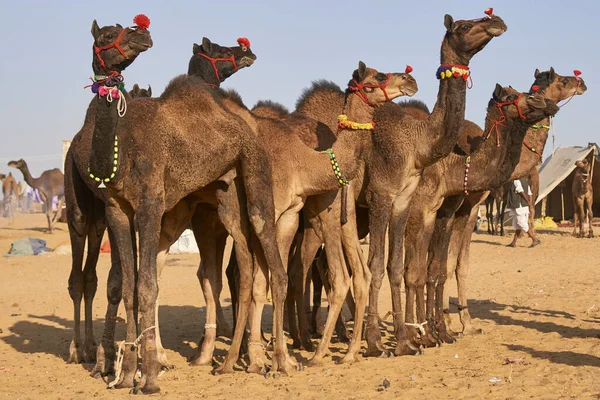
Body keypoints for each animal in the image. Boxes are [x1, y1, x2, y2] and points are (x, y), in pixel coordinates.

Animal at [290, 10, 506, 356]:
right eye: (463, 26)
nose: (496, 21)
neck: (417, 144)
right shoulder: (381, 194)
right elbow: (377, 264)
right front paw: (376, 342)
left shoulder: (403, 200)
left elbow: (396, 265)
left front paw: (406, 340)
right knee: (302, 265)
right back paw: (306, 338)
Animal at [400, 86, 560, 346]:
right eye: (509, 97)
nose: (546, 102)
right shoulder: (421, 210)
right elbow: (417, 270)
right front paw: (423, 334)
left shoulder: (448, 212)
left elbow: (440, 268)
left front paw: (446, 329)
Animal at [440, 69, 584, 338]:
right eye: (563, 80)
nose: (582, 83)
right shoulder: (451, 207)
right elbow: (443, 262)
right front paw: (445, 324)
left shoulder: (470, 208)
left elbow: (459, 263)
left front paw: (467, 324)